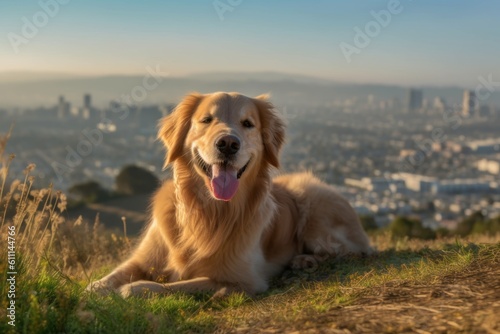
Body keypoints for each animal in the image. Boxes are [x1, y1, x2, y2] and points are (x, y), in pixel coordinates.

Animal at [87, 92, 372, 298]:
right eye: (206, 120)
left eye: (248, 124)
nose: (228, 144)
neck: (208, 210)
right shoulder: (143, 258)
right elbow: (114, 275)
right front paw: (96, 289)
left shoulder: (245, 279)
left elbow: (182, 284)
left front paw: (136, 288)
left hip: (313, 204)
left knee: (351, 250)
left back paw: (305, 260)